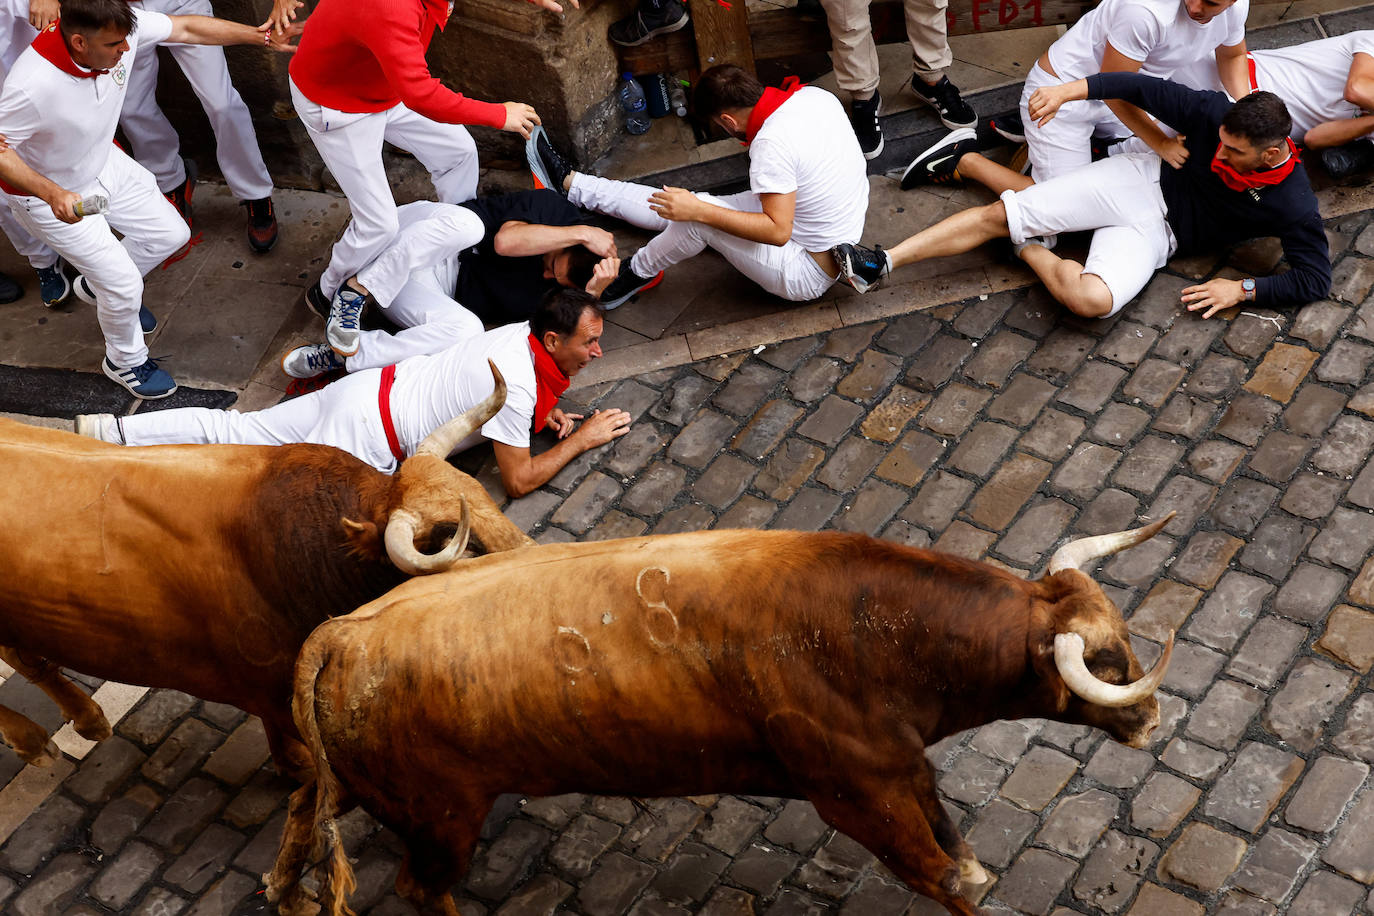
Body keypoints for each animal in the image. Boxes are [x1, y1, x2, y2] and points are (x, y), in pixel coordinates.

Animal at [0, 365, 530, 774]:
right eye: (455, 539)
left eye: (482, 497)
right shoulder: (269, 694)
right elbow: (302, 759)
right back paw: (33, 742)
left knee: (30, 660)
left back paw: (87, 720)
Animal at [273, 519, 1176, 911]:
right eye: (1104, 662)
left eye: (1127, 638)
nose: (1151, 719)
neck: (864, 630)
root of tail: (344, 633)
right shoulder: (857, 795)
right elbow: (946, 876)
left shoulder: (900, 767)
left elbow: (958, 849)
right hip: (442, 820)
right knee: (422, 891)